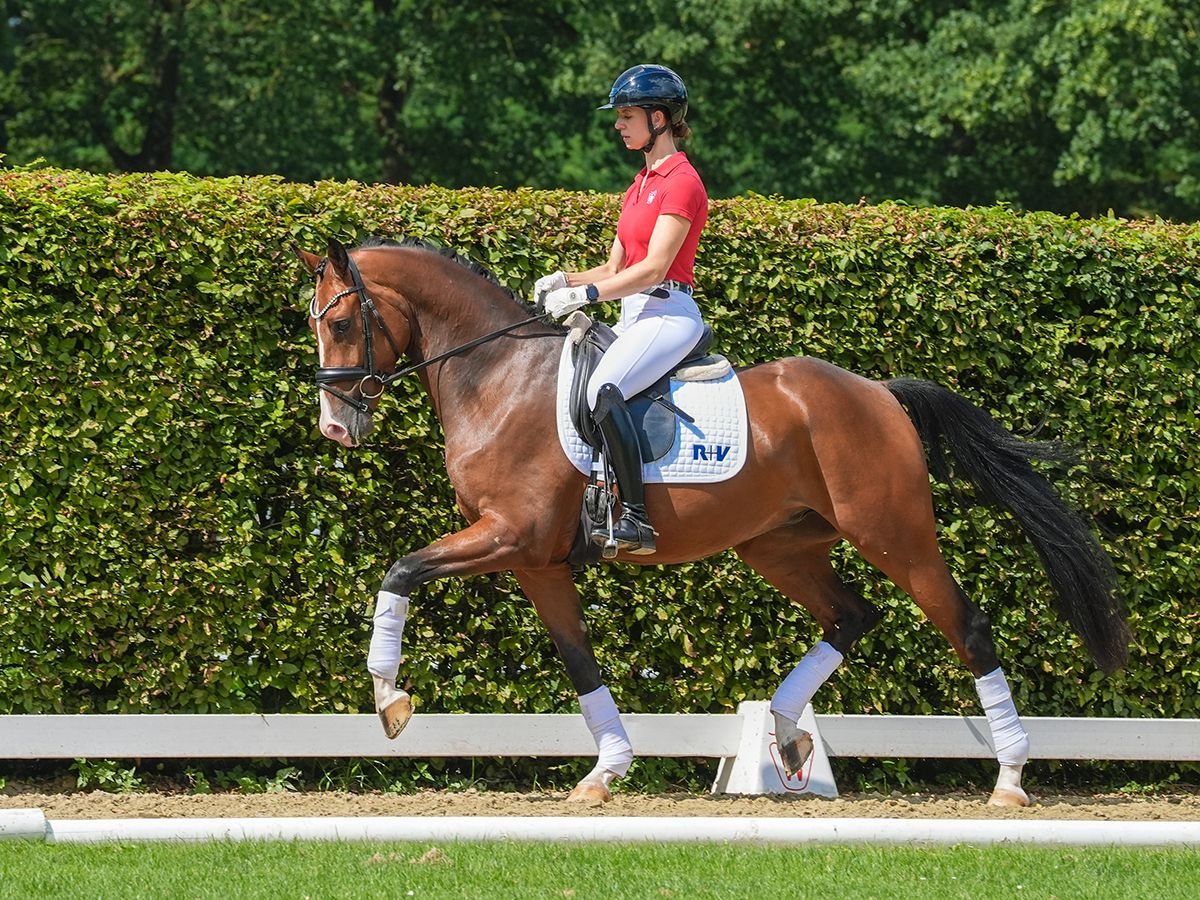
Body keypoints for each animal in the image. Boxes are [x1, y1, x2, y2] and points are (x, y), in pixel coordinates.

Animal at [295, 236, 1128, 806]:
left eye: (341, 322)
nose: (335, 427)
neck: (498, 379)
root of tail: (878, 392)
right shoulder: (537, 562)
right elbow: (579, 663)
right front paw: (606, 770)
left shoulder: (512, 537)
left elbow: (401, 569)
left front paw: (388, 698)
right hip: (778, 546)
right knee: (851, 615)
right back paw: (786, 735)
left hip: (896, 535)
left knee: (966, 628)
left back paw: (1010, 777)